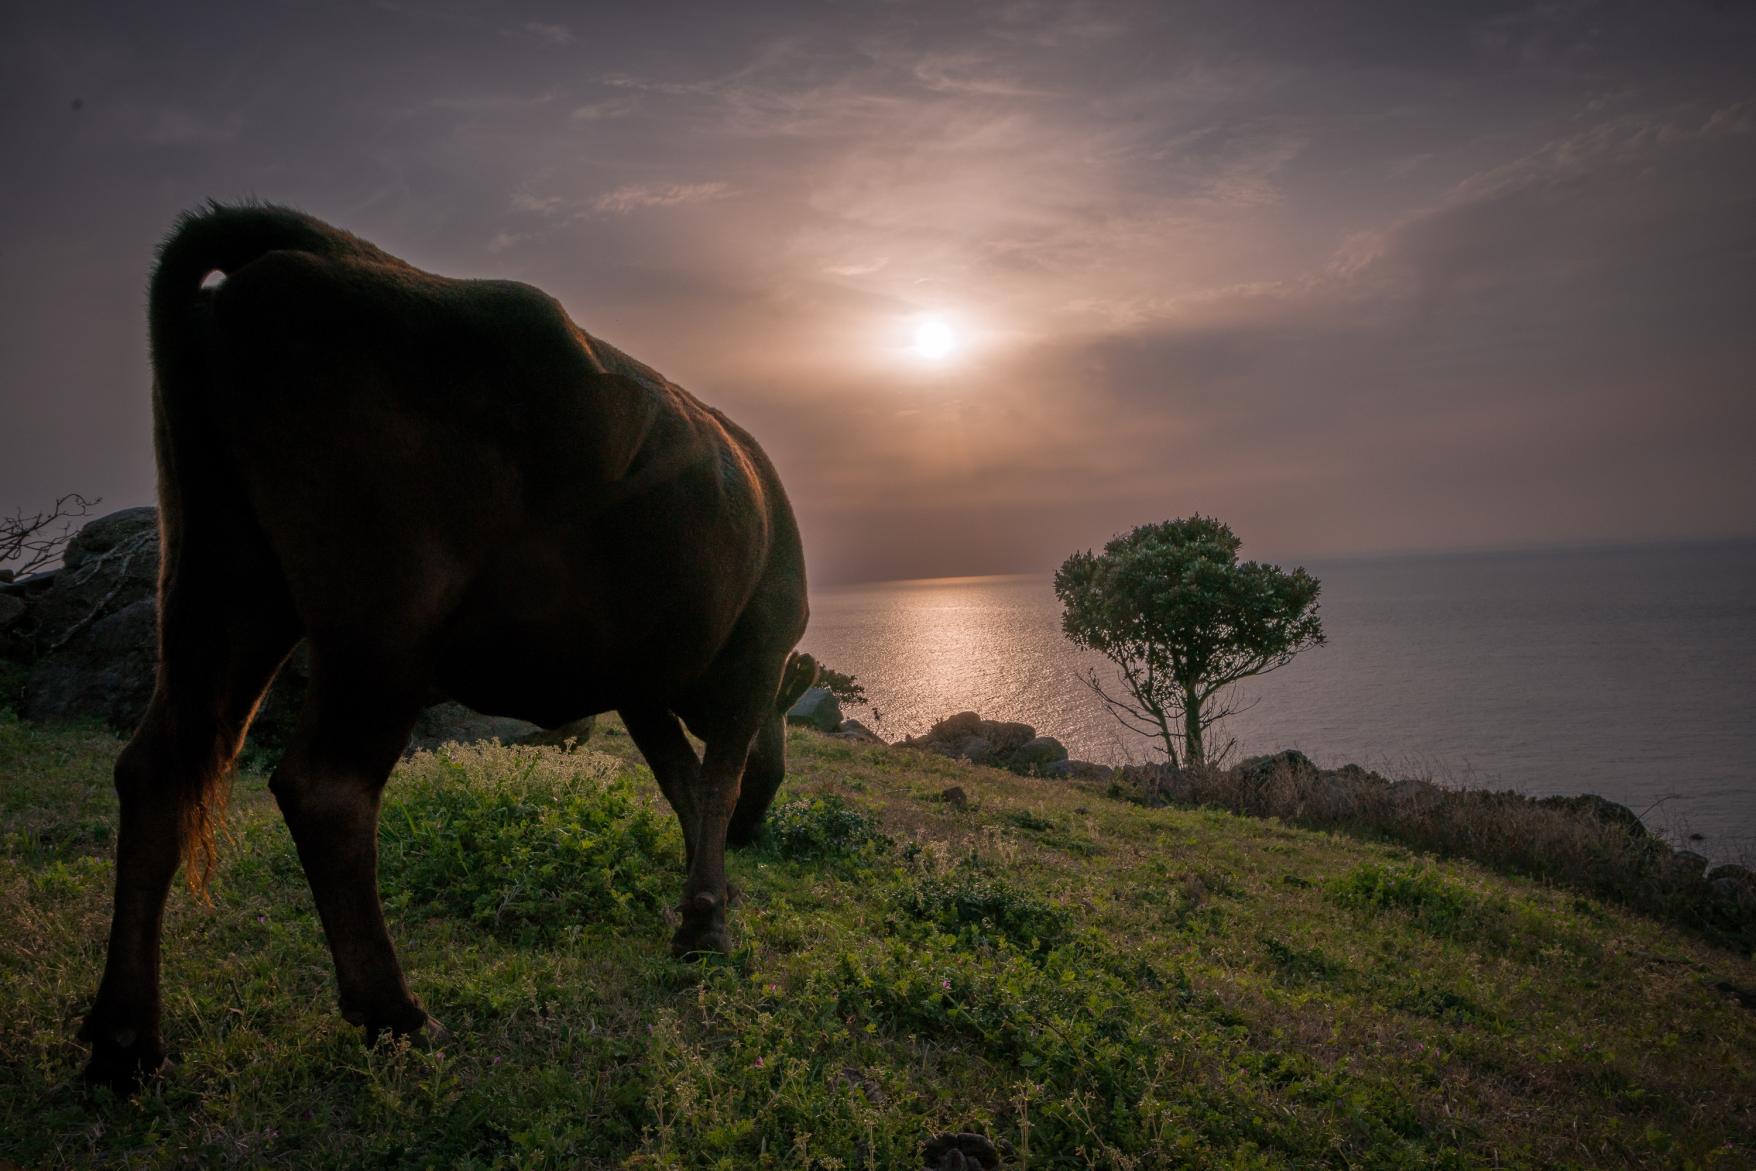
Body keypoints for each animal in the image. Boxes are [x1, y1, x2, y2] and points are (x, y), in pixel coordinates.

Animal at [79, 201, 818, 1088]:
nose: (752, 837)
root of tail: (312, 251)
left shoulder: (637, 678)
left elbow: (678, 780)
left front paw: (705, 896)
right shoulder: (753, 654)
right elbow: (713, 778)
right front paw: (706, 921)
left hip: (223, 585)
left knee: (158, 770)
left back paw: (125, 1041)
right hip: (383, 617)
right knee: (326, 788)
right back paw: (394, 1013)